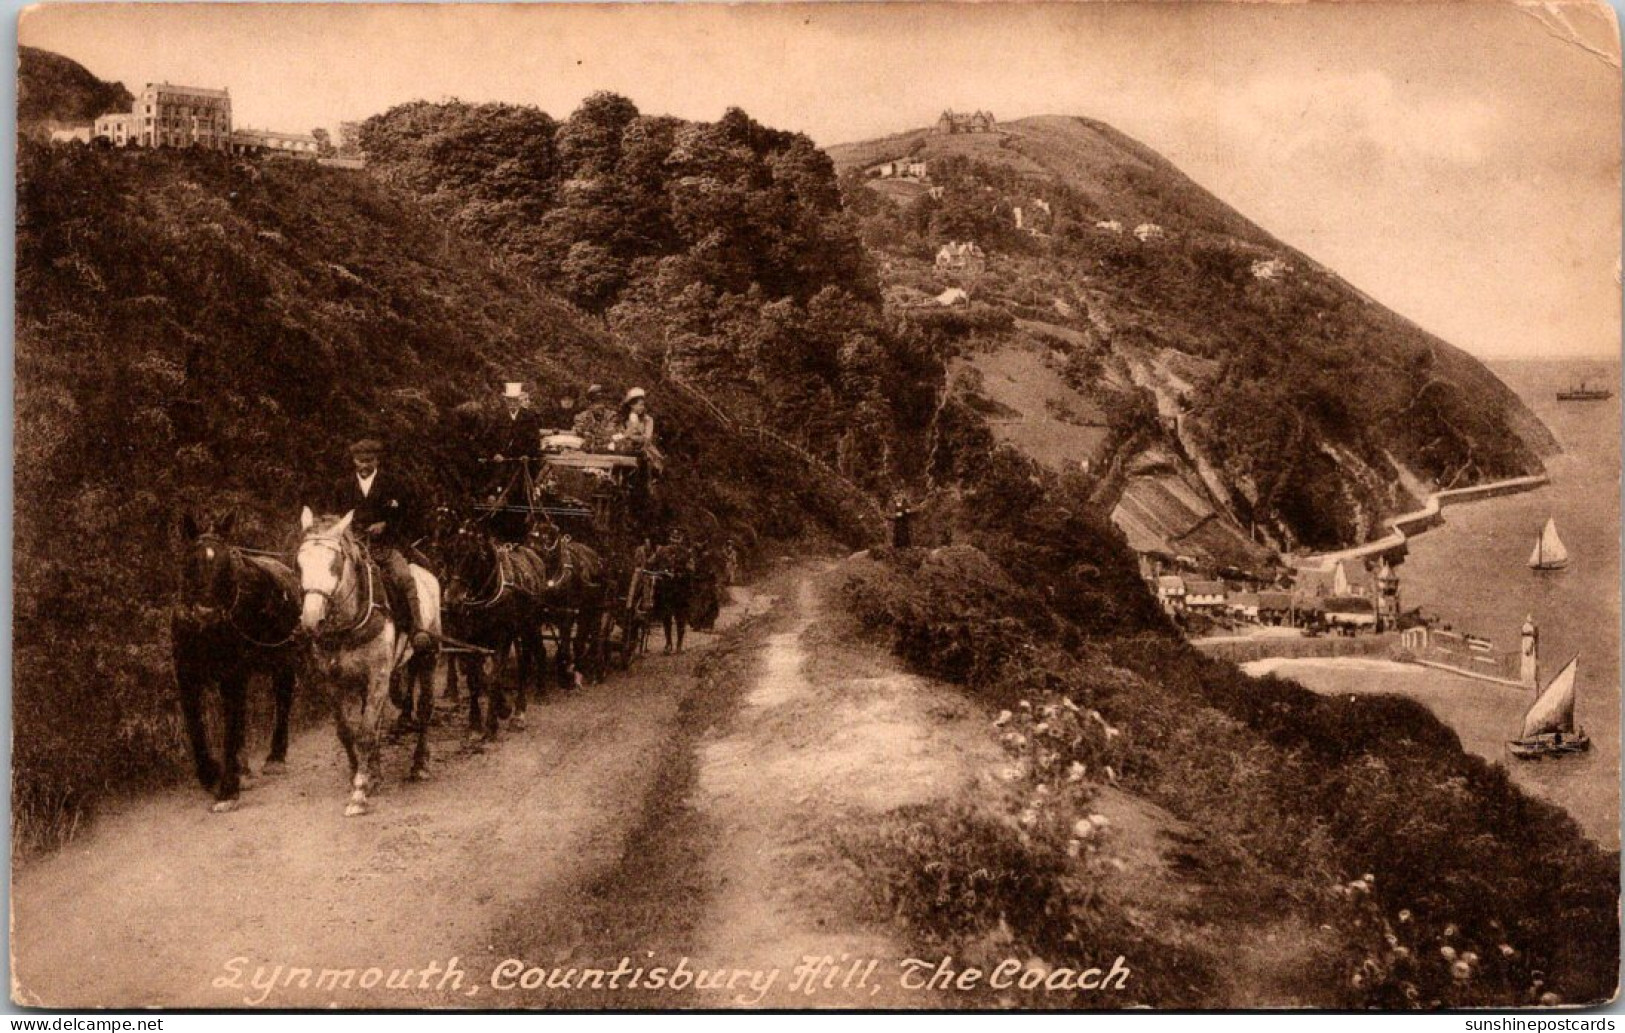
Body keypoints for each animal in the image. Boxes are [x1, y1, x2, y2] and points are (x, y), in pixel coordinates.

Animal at [175, 513, 305, 812]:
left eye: (226, 565)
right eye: (191, 562)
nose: (206, 612)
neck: (204, 631)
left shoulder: (231, 676)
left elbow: (230, 729)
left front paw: (227, 790)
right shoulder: (187, 679)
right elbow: (196, 728)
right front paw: (211, 774)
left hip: (282, 660)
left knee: (283, 698)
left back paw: (275, 758)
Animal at [295, 506, 442, 815]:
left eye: (335, 563)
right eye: (300, 563)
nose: (311, 621)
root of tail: (425, 572)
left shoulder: (378, 676)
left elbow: (365, 732)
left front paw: (359, 792)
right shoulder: (333, 682)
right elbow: (347, 731)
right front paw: (360, 774)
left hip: (428, 656)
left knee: (424, 708)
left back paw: (419, 764)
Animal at [438, 519, 546, 747]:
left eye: (474, 557)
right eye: (448, 554)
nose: (452, 600)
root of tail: (533, 555)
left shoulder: (501, 639)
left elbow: (494, 677)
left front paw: (493, 723)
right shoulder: (469, 641)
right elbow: (475, 679)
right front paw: (476, 725)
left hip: (530, 626)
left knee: (527, 662)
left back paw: (519, 712)